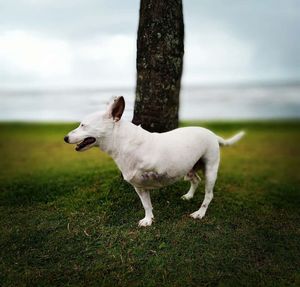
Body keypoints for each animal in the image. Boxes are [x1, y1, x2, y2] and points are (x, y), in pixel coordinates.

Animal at [64, 97, 245, 227]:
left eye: (83, 125)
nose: (65, 138)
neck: (122, 143)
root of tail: (212, 134)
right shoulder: (139, 186)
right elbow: (146, 204)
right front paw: (148, 219)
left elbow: (156, 175)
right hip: (190, 166)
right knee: (195, 179)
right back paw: (189, 196)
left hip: (211, 169)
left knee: (208, 194)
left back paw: (200, 213)